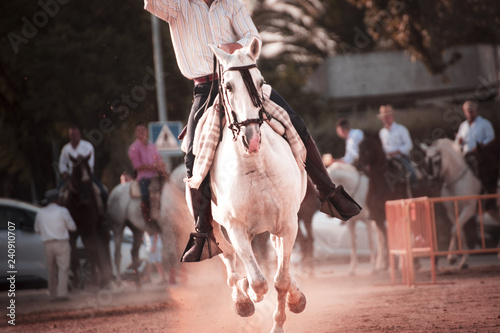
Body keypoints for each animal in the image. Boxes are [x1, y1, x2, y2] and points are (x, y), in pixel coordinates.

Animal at [63, 154, 113, 286]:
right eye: (76, 172)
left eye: (89, 170)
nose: (86, 194)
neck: (79, 205)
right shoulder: (73, 232)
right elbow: (75, 255)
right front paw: (76, 281)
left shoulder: (90, 229)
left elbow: (92, 252)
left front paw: (94, 279)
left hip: (100, 230)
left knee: (104, 246)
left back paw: (108, 277)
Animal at [197, 37, 306, 330]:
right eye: (228, 86)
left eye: (260, 82)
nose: (252, 138)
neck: (256, 168)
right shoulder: (236, 229)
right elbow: (257, 282)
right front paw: (248, 295)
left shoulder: (288, 223)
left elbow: (281, 280)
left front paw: (285, 314)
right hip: (215, 226)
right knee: (230, 262)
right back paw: (242, 300)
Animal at [420, 137, 482, 268]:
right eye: (426, 161)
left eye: (436, 162)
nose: (431, 183)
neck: (456, 182)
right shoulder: (452, 212)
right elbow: (458, 231)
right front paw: (460, 259)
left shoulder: (468, 209)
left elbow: (454, 230)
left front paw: (454, 258)